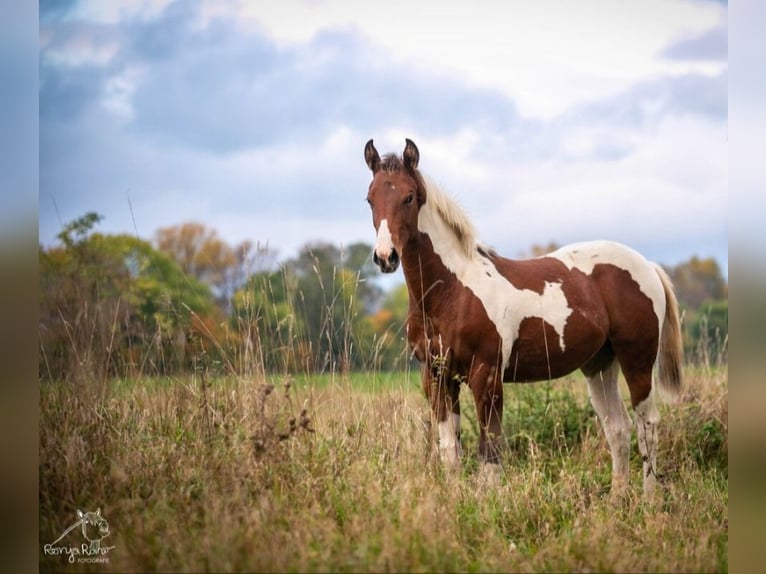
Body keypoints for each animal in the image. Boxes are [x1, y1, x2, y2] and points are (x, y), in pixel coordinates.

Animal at [364, 137, 688, 498]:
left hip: (637, 359)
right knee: (617, 427)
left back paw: (648, 499)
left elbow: (490, 448)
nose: (386, 257)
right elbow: (450, 450)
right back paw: (617, 500)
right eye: (370, 198)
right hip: (600, 364)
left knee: (648, 425)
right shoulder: (436, 376)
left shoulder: (486, 375)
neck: (452, 290)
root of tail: (648, 266)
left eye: (408, 196)